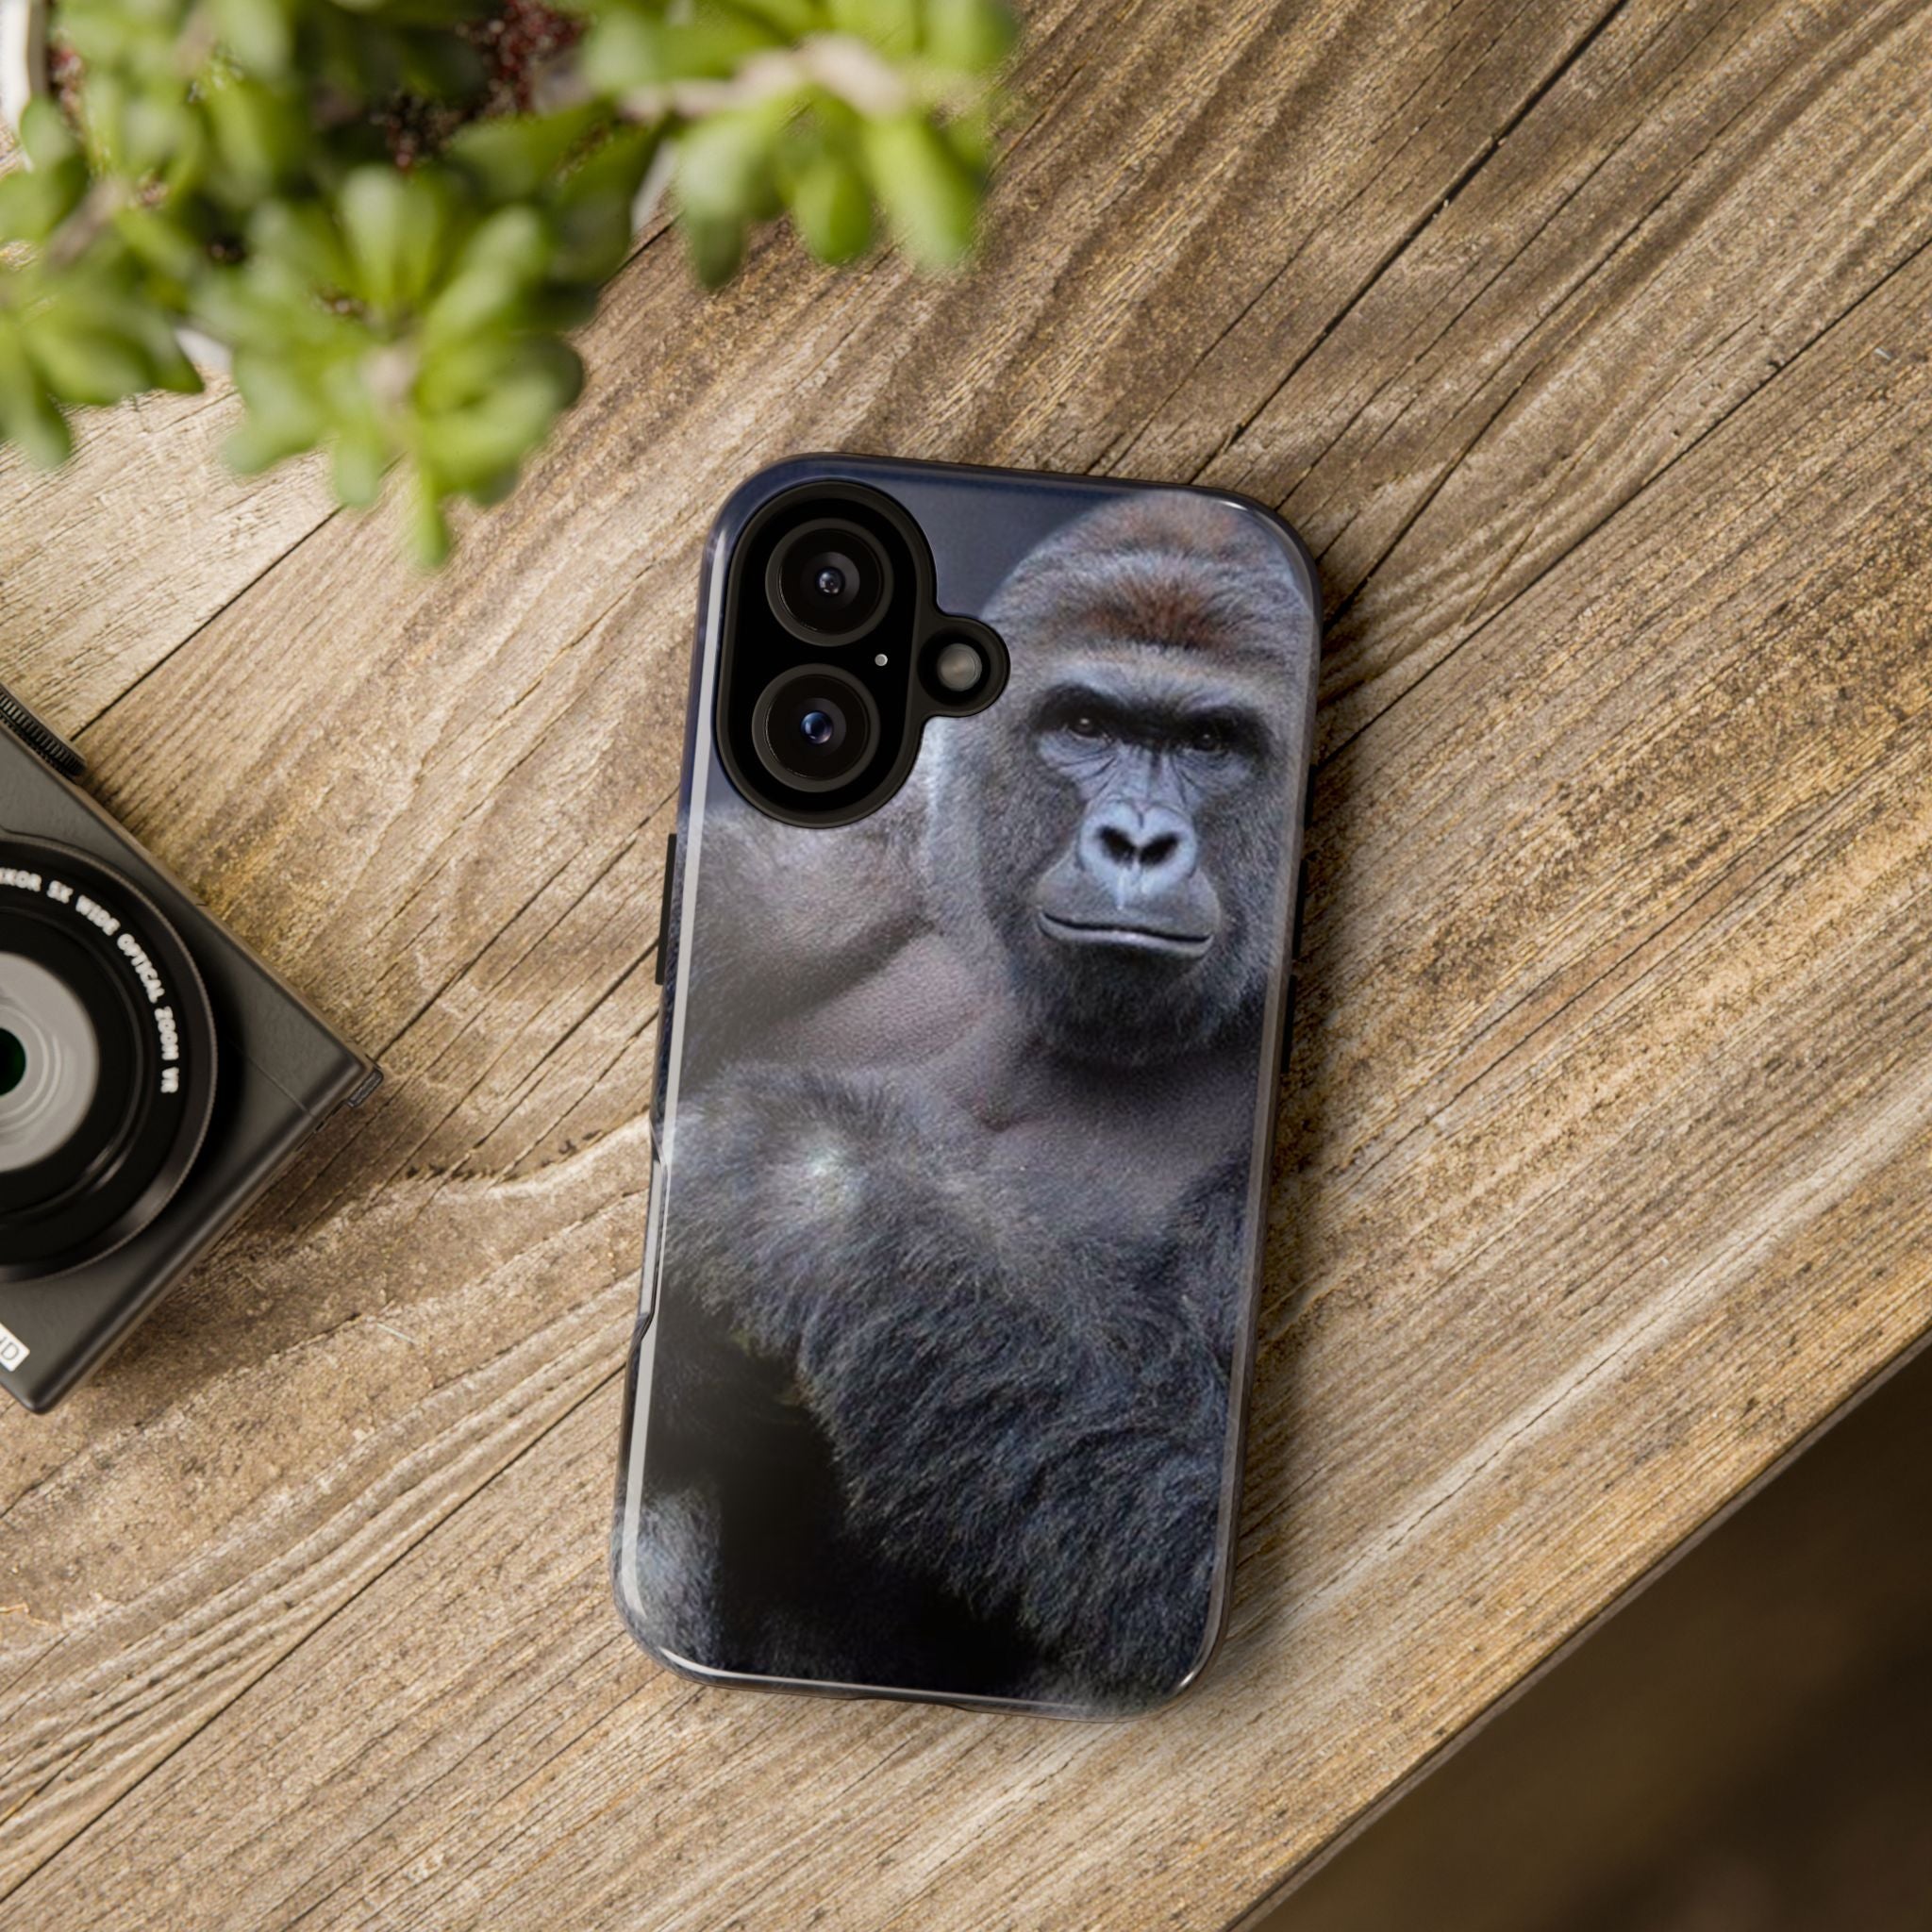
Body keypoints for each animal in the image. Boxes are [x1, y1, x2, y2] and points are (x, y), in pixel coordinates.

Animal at [626, 492, 1312, 1706]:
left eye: (1209, 743)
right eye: (1083, 723)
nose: (1137, 841)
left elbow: (1184, 1524)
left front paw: (800, 1188)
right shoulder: (786, 887)